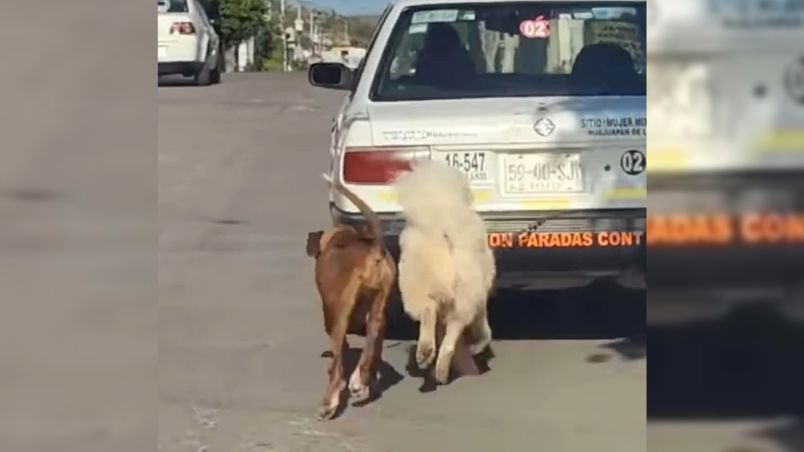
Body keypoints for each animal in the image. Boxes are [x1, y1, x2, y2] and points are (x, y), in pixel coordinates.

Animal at [306, 174, 398, 420]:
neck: (342, 237)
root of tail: (373, 250)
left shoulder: (330, 313)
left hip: (339, 315)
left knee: (338, 366)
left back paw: (330, 403)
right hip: (379, 308)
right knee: (374, 337)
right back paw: (360, 380)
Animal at [392, 157, 496, 384]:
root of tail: (444, 229)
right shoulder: (474, 301)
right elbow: (483, 331)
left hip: (417, 285)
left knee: (428, 311)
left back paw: (426, 354)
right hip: (463, 297)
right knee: (450, 339)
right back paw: (438, 368)